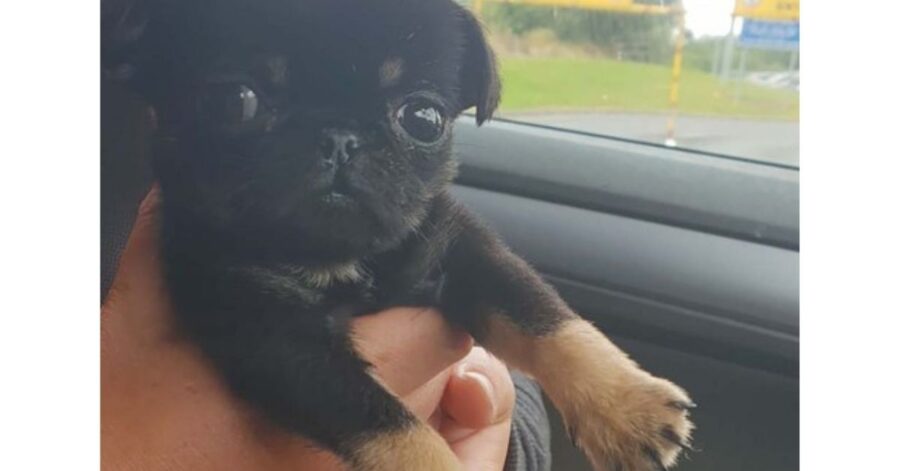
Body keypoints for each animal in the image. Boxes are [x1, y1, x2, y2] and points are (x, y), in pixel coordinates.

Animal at [103, 1, 696, 470]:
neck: (339, 258)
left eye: (424, 118)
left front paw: (624, 405)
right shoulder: (273, 334)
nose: (339, 137)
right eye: (234, 103)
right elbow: (392, 427)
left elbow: (542, 315)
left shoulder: (461, 247)